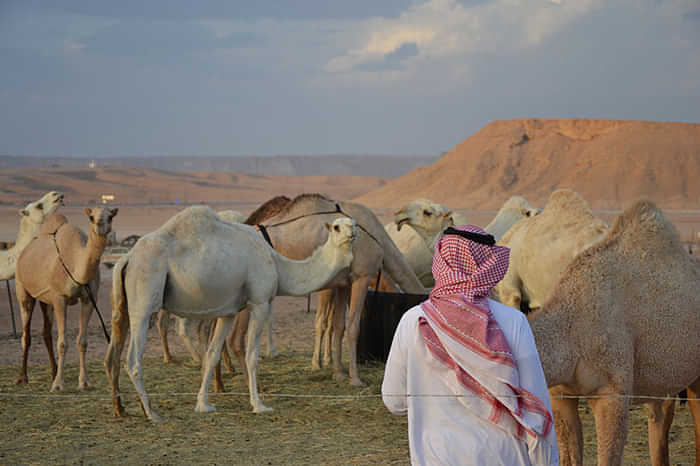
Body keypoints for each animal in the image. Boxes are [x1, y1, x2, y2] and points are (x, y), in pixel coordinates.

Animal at [15, 207, 118, 391]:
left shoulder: (89, 299)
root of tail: (24, 252)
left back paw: (53, 371)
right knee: (26, 335)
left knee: (46, 333)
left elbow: (82, 341)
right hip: (23, 290)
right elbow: (62, 343)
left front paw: (84, 382)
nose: (100, 224)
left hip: (45, 300)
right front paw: (58, 385)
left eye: (111, 216)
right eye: (91, 217)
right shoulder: (59, 298)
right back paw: (23, 378)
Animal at [103, 206, 357, 422]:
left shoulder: (230, 312)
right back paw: (152, 413)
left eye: (353, 223)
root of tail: (127, 258)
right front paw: (259, 405)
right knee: (133, 359)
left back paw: (122, 409)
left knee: (113, 352)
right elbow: (252, 354)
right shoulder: (260, 301)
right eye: (336, 227)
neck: (277, 264)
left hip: (123, 304)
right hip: (143, 299)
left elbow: (212, 353)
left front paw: (203, 404)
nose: (351, 233)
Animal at [229, 194, 425, 387]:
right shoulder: (362, 276)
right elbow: (352, 327)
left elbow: (338, 326)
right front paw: (355, 379)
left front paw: (338, 373)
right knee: (236, 340)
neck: (380, 240)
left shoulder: (343, 283)